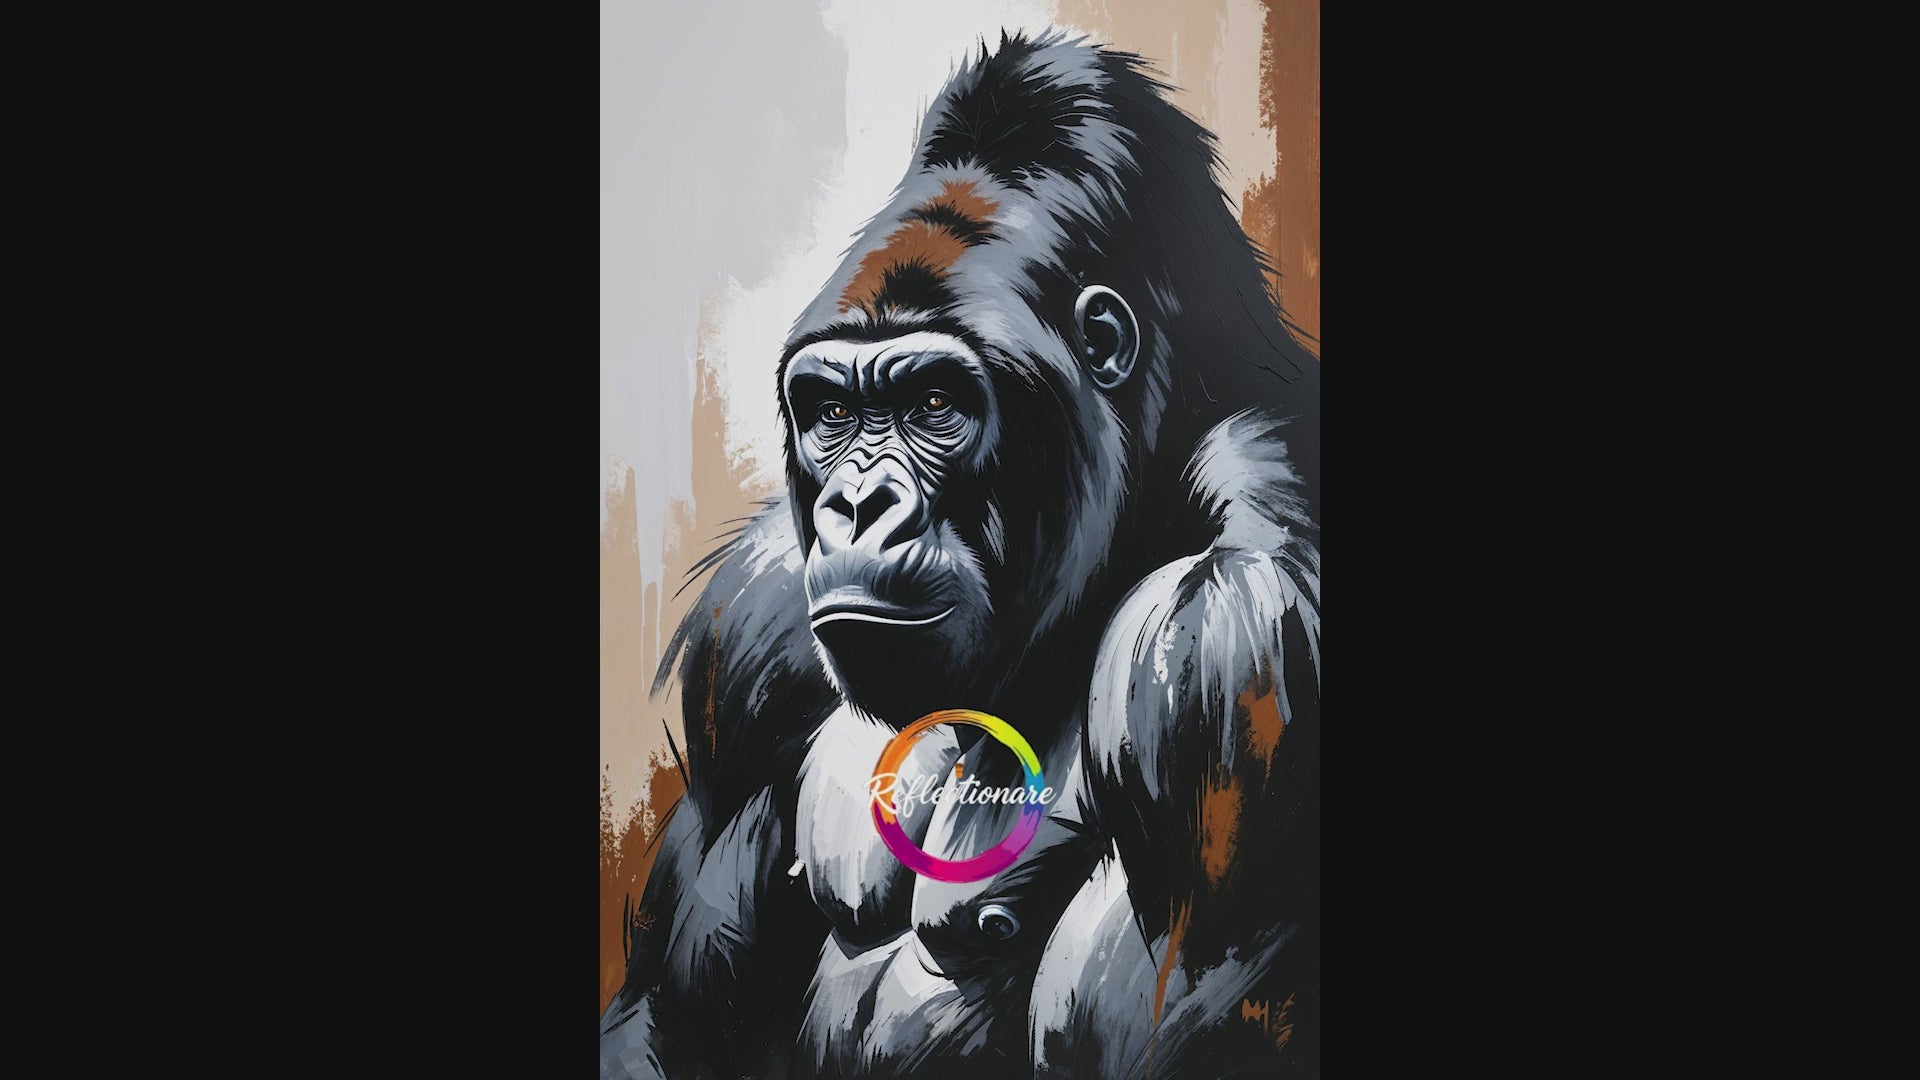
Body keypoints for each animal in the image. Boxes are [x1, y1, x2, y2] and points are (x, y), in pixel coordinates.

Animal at [600, 29, 1320, 1078]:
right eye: (831, 413)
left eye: (935, 404)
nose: (858, 506)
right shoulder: (752, 630)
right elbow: (664, 1011)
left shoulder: (1234, 634)